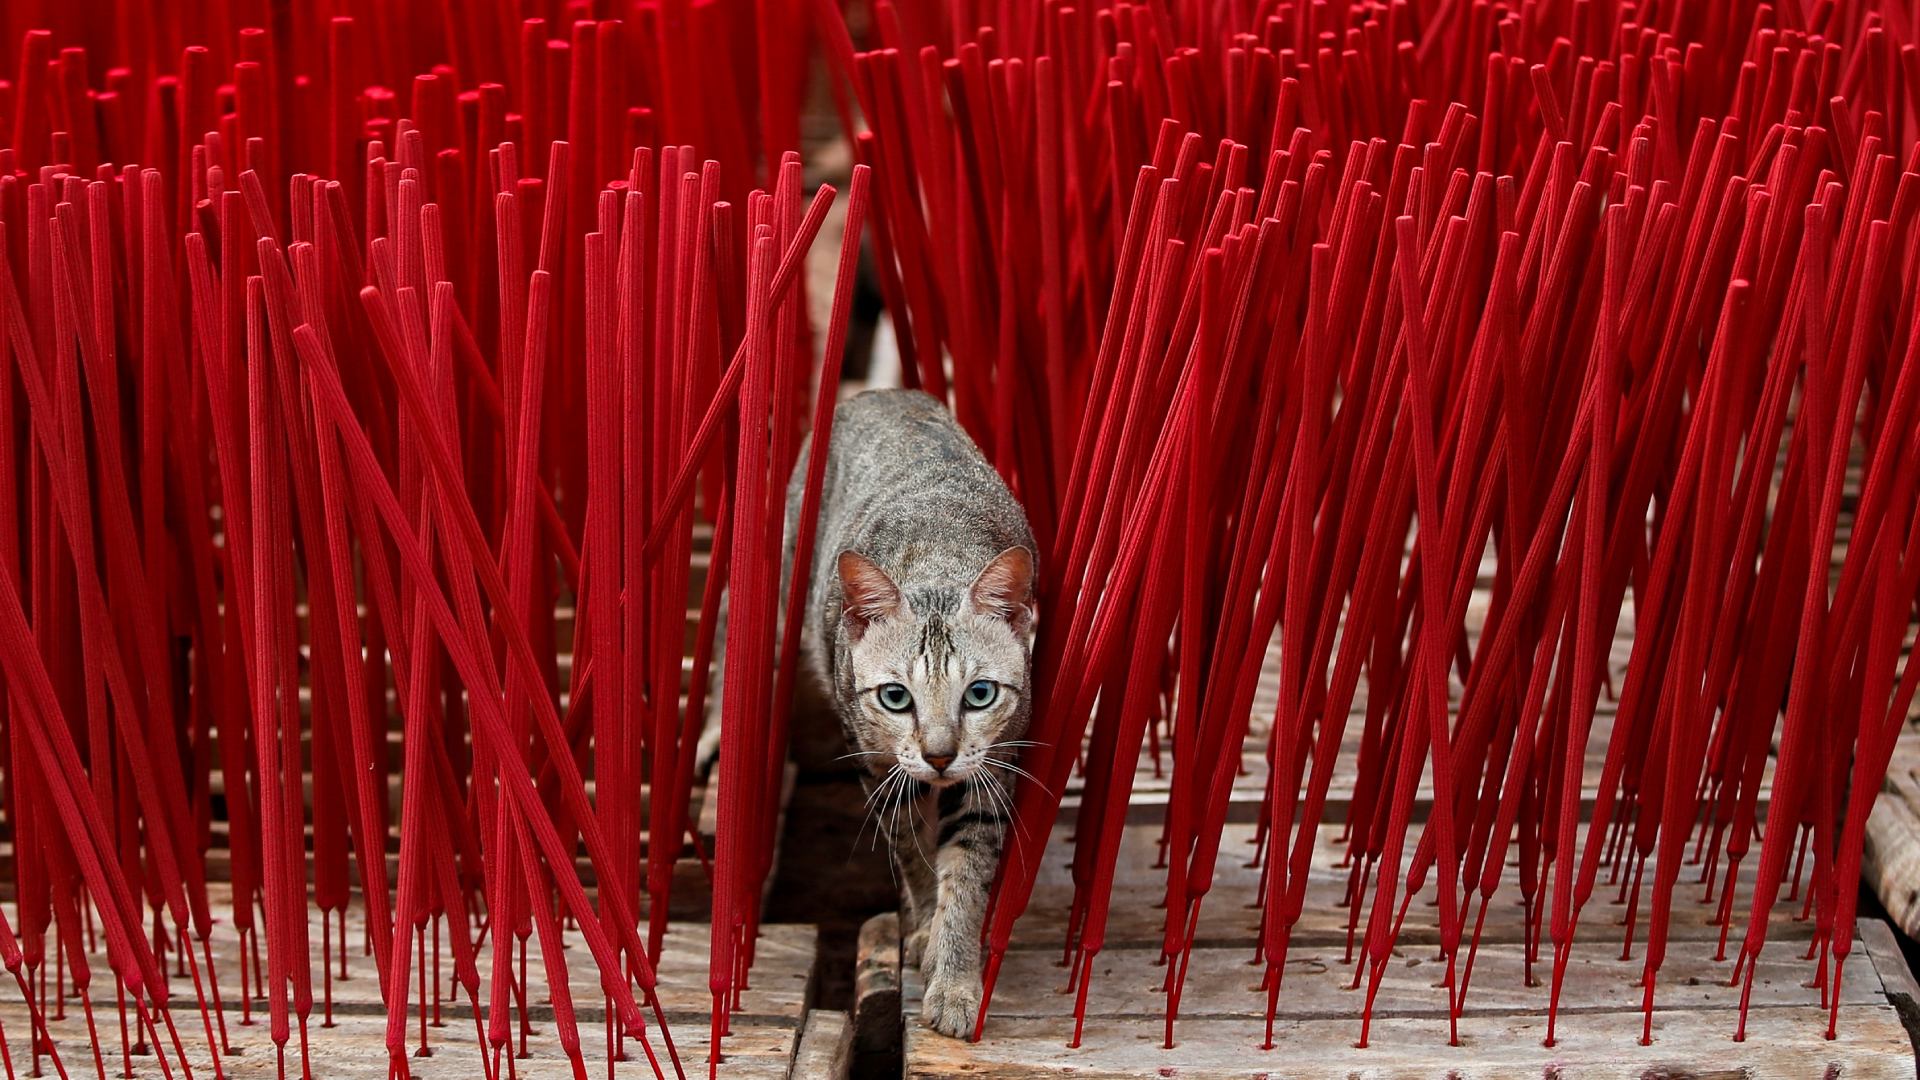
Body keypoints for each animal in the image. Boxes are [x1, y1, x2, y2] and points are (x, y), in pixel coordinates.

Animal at [771, 386, 1036, 1037]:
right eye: (896, 698)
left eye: (980, 694)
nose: (940, 755)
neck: (937, 556)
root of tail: (878, 391)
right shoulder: (877, 763)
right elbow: (913, 852)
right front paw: (922, 933)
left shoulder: (995, 768)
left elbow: (966, 875)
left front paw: (954, 978)